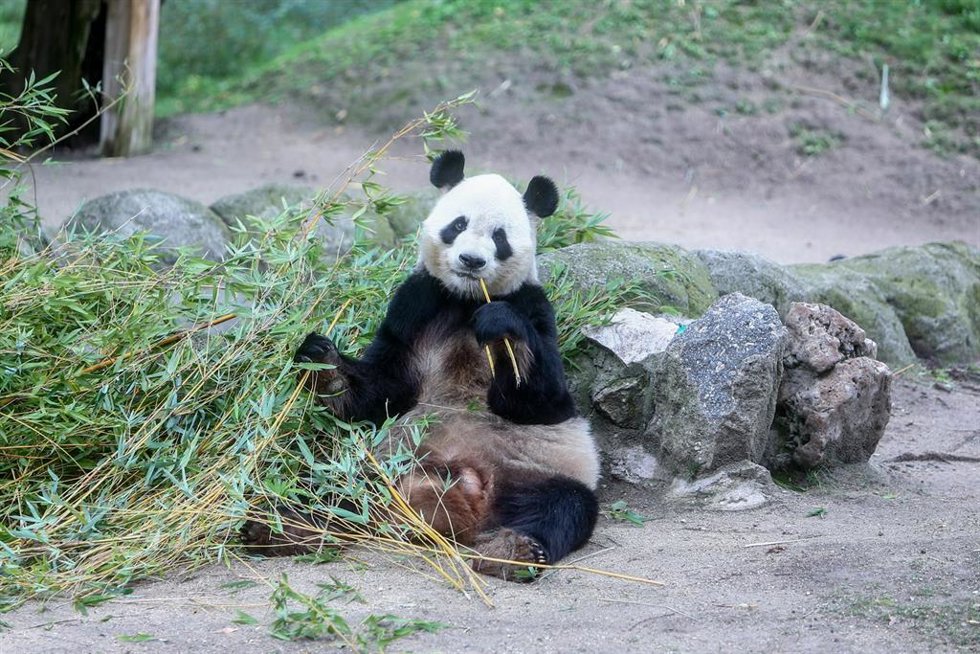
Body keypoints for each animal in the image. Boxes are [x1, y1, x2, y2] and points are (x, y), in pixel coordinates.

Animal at [243, 151, 600, 580]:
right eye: (458, 224)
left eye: (499, 237)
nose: (471, 260)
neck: (465, 300)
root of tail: (462, 500)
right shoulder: (416, 303)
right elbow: (383, 388)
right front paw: (321, 360)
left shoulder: (533, 305)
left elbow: (541, 398)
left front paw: (500, 329)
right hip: (377, 468)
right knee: (334, 492)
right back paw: (280, 525)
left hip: (537, 473)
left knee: (562, 507)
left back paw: (511, 550)